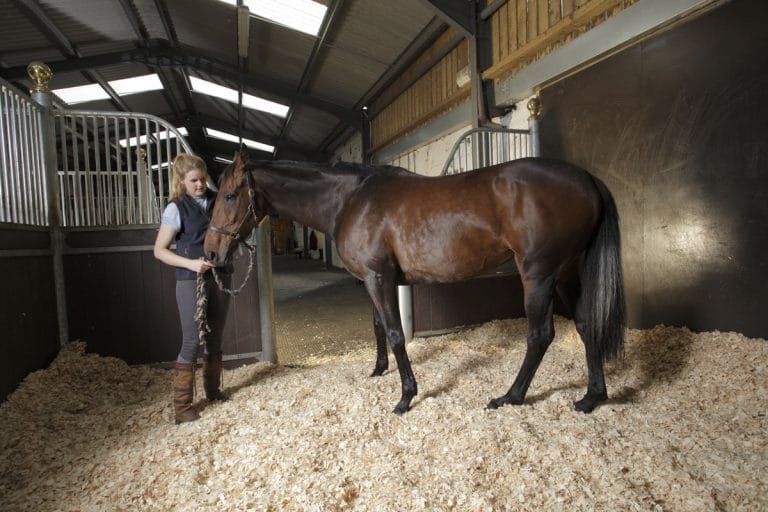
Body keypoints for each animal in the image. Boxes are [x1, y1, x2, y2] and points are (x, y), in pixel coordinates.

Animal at [204, 147, 625, 415]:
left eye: (229, 195)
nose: (211, 254)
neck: (351, 200)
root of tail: (587, 179)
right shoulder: (376, 279)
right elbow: (378, 326)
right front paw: (378, 371)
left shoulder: (378, 277)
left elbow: (394, 333)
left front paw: (406, 397)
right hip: (565, 272)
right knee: (586, 325)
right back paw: (591, 397)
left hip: (539, 274)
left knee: (540, 335)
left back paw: (510, 396)